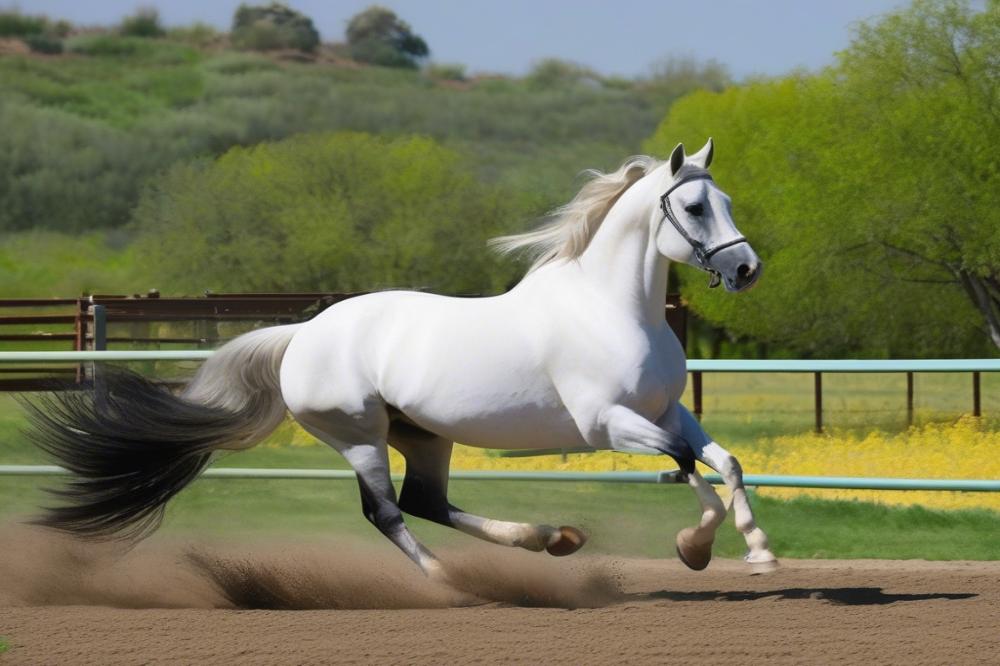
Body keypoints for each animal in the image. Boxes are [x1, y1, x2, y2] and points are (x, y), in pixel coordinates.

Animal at [25, 139, 780, 576]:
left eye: (725, 198)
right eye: (694, 206)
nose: (747, 270)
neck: (611, 308)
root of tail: (301, 335)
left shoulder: (670, 411)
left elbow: (726, 463)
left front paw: (762, 553)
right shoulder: (610, 425)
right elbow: (683, 468)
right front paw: (694, 549)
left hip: (421, 434)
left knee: (426, 500)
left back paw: (547, 539)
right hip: (358, 434)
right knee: (387, 513)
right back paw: (454, 583)